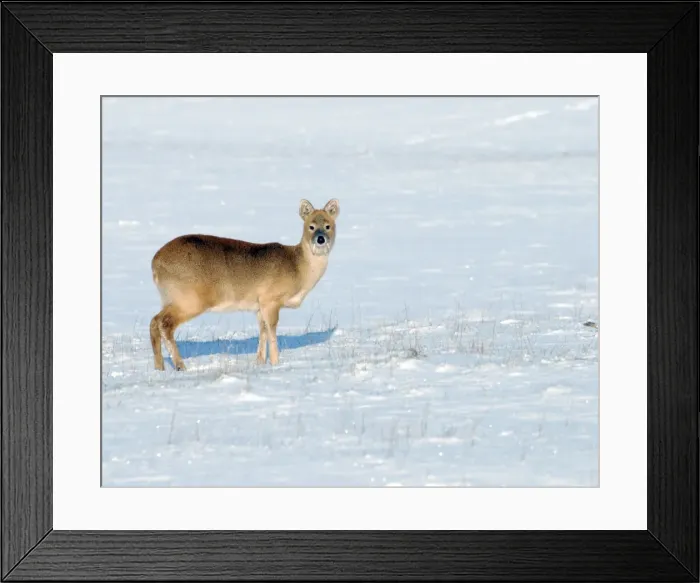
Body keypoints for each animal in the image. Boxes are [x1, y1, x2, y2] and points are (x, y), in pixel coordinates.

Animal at [149, 198, 339, 371]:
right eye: (311, 226)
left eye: (328, 225)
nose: (320, 239)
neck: (298, 267)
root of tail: (155, 262)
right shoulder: (270, 299)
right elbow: (272, 332)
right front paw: (276, 364)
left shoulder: (259, 305)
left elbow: (262, 332)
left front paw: (260, 363)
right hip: (189, 299)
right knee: (164, 324)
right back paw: (180, 366)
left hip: (171, 298)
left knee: (154, 321)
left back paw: (160, 367)